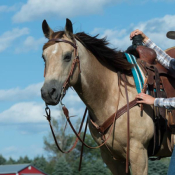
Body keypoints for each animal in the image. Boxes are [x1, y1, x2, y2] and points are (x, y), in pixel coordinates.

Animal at [40, 18, 172, 174]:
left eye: (67, 56)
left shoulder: (139, 154)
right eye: (44, 57)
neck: (112, 96)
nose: (48, 92)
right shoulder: (111, 159)